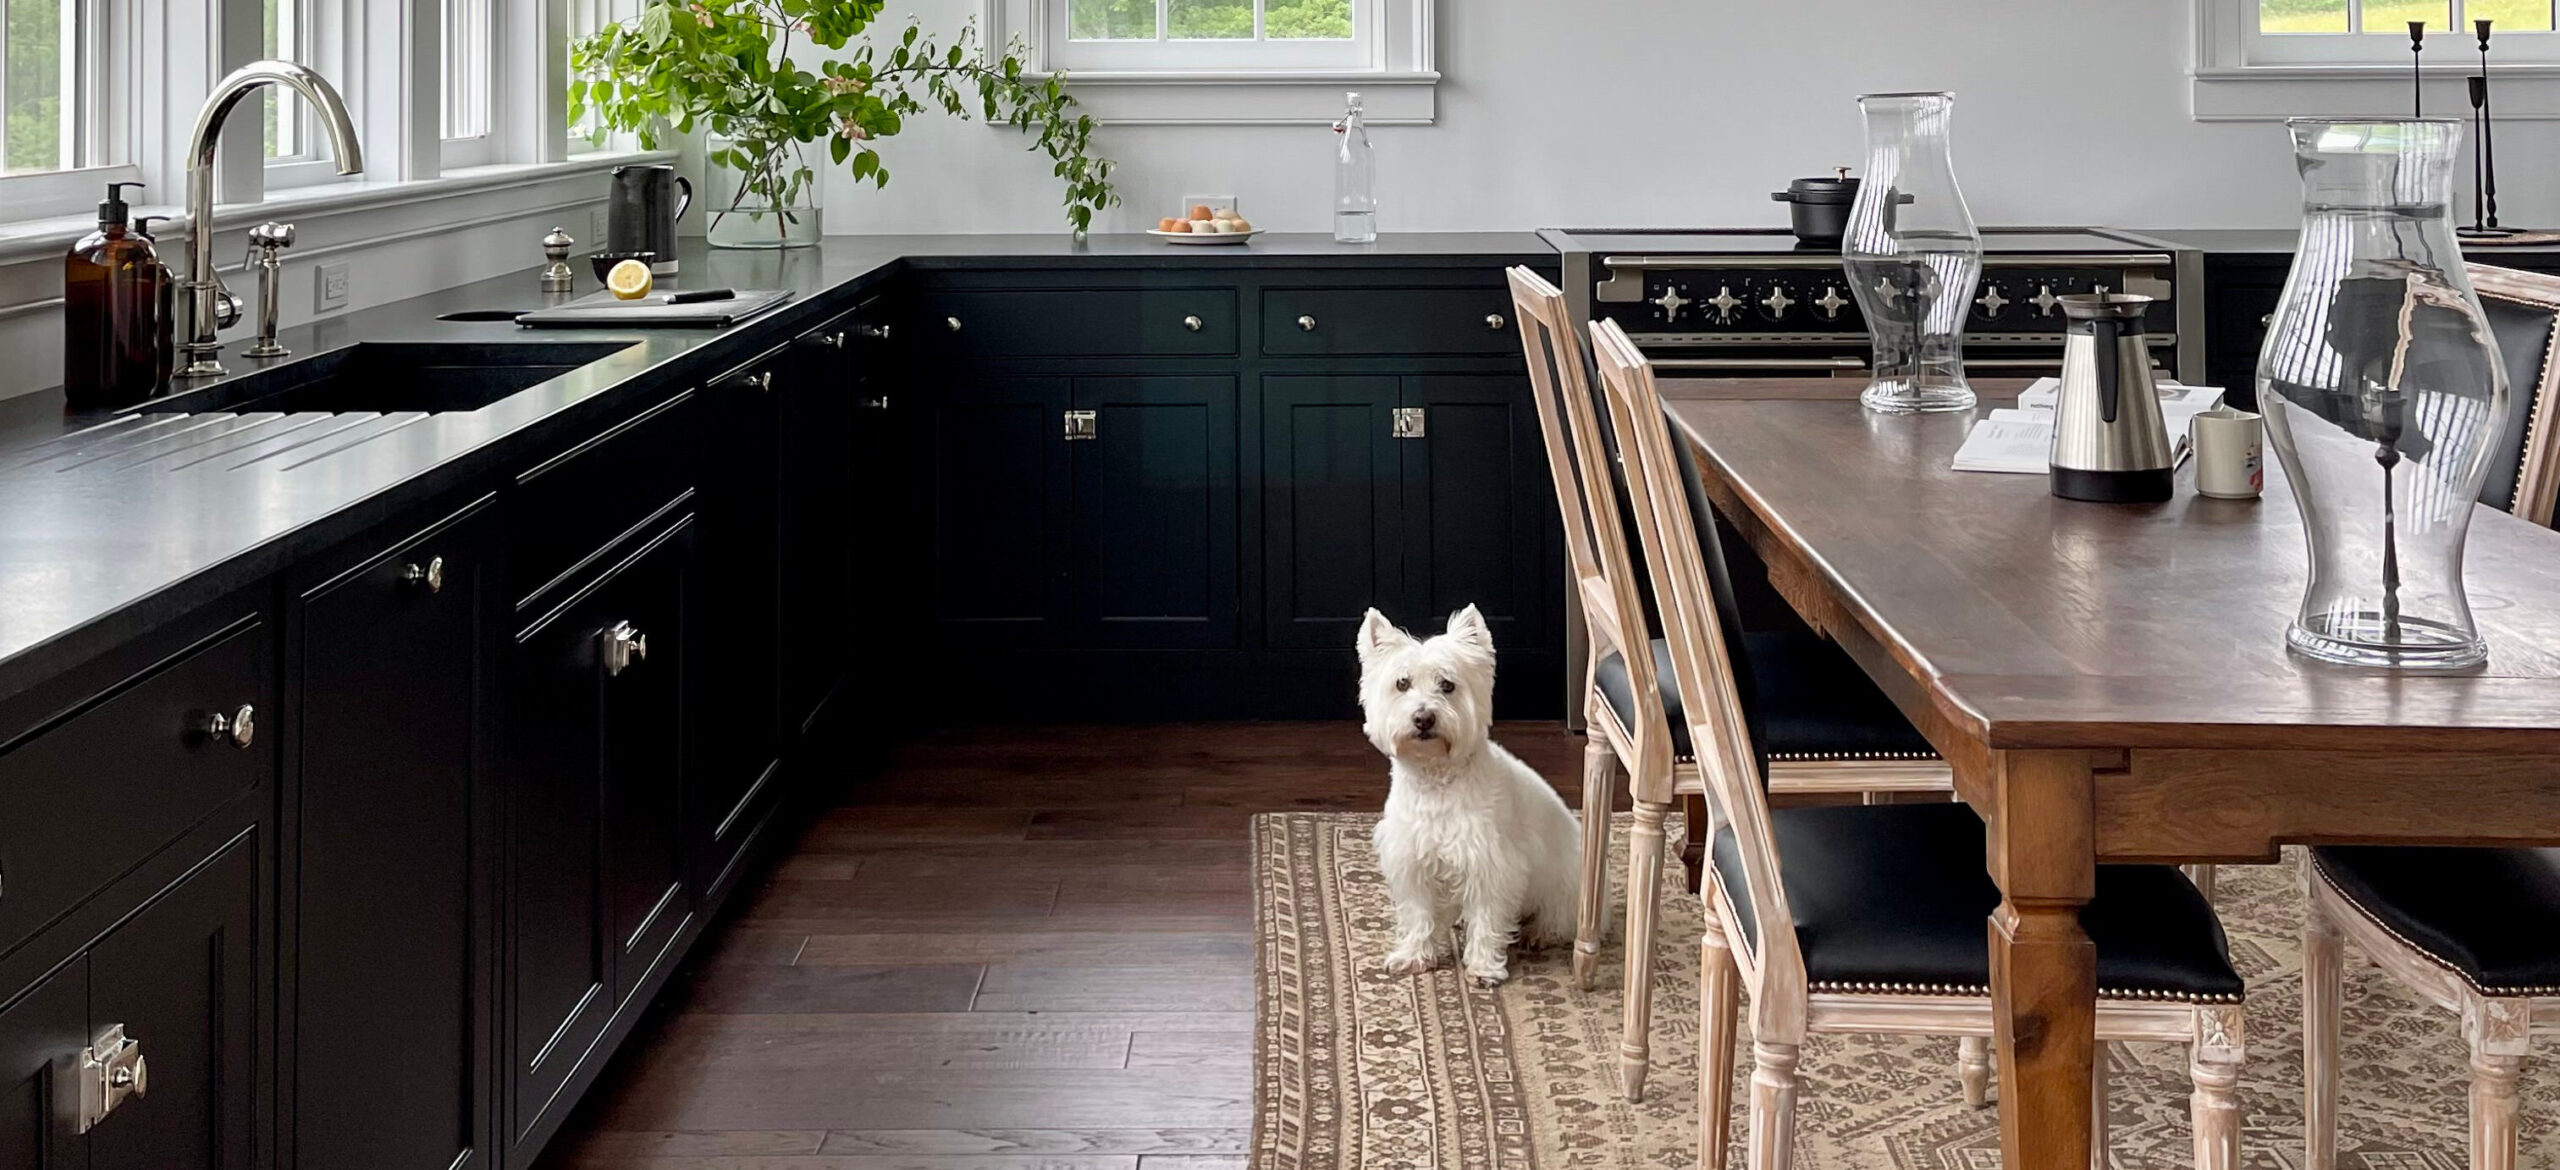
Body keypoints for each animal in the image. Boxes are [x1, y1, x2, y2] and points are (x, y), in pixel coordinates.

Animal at [1361, 606, 1576, 977]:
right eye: (1402, 683)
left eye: (1448, 685)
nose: (1423, 718)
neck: (1436, 779)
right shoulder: (1411, 861)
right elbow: (1417, 913)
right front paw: (1413, 955)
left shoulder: (1491, 862)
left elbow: (1488, 918)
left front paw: (1484, 967)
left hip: (1566, 882)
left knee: (1559, 918)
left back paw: (1537, 933)